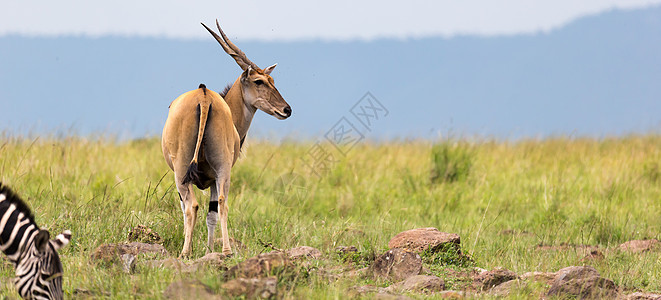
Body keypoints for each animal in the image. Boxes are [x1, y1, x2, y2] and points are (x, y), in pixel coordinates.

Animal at [161, 19, 290, 256]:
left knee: (193, 206)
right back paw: (226, 250)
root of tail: (203, 96)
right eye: (260, 81)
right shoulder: (214, 177)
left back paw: (188, 252)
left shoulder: (203, 178)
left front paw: (204, 249)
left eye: (272, 79)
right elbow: (213, 211)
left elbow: (198, 211)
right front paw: (210, 250)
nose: (287, 109)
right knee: (220, 203)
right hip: (220, 169)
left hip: (186, 170)